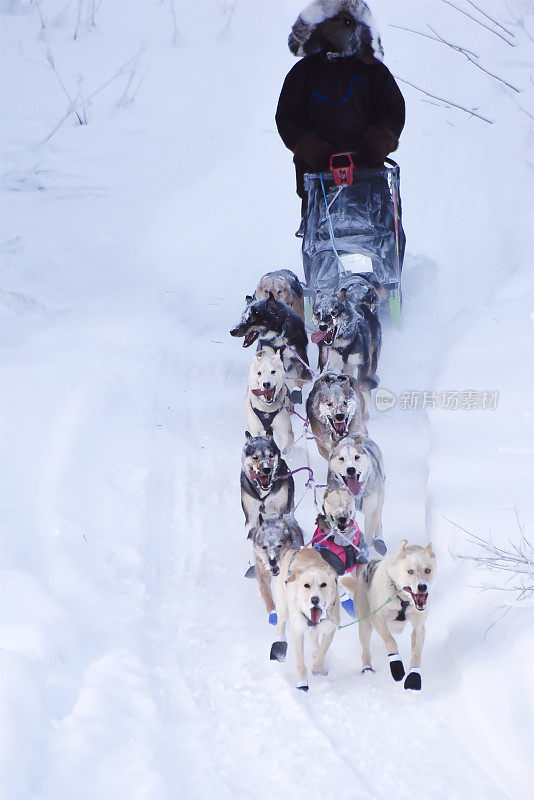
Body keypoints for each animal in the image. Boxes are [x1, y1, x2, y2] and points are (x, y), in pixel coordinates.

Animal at [270, 548, 342, 692]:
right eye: (306, 585)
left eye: (323, 585)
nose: (315, 599)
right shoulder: (297, 631)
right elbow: (300, 661)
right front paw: (302, 682)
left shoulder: (329, 629)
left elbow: (322, 652)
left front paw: (317, 667)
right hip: (283, 607)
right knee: (281, 623)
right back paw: (279, 645)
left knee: (314, 638)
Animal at [354, 540, 438, 692]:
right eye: (410, 571)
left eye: (427, 570)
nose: (422, 587)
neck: (402, 599)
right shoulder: (378, 619)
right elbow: (390, 641)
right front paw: (396, 666)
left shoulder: (419, 626)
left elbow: (416, 652)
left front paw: (414, 677)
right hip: (365, 625)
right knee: (365, 650)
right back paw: (367, 668)